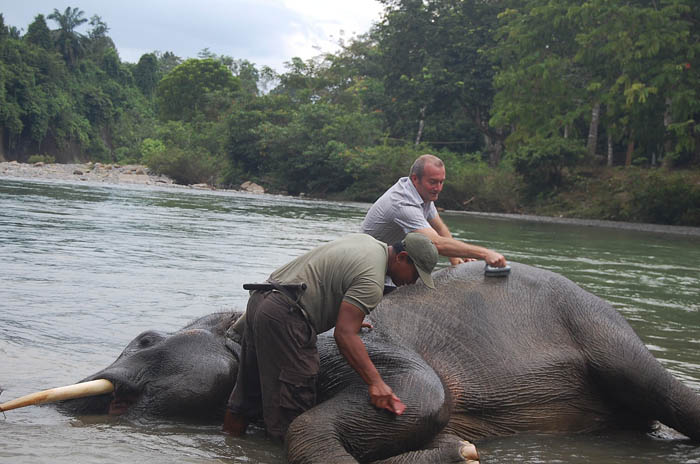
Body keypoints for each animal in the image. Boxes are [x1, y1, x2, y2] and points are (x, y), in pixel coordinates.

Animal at [6, 262, 700, 462]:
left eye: (146, 340)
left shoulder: (335, 340)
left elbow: (421, 392)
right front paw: (459, 450)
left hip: (597, 326)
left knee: (659, 388)